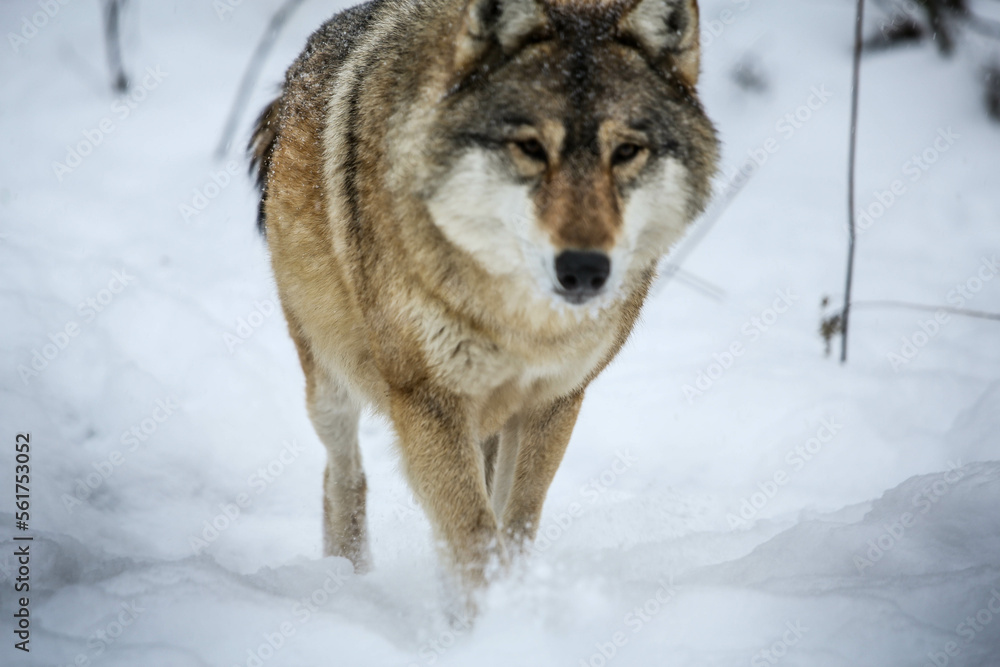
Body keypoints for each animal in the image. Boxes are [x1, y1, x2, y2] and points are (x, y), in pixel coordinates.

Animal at [250, 0, 717, 599]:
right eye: (530, 148)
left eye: (627, 152)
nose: (584, 270)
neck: (522, 322)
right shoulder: (429, 401)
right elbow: (473, 535)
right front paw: (487, 616)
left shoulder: (555, 400)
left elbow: (515, 522)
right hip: (329, 382)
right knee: (343, 471)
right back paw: (346, 575)